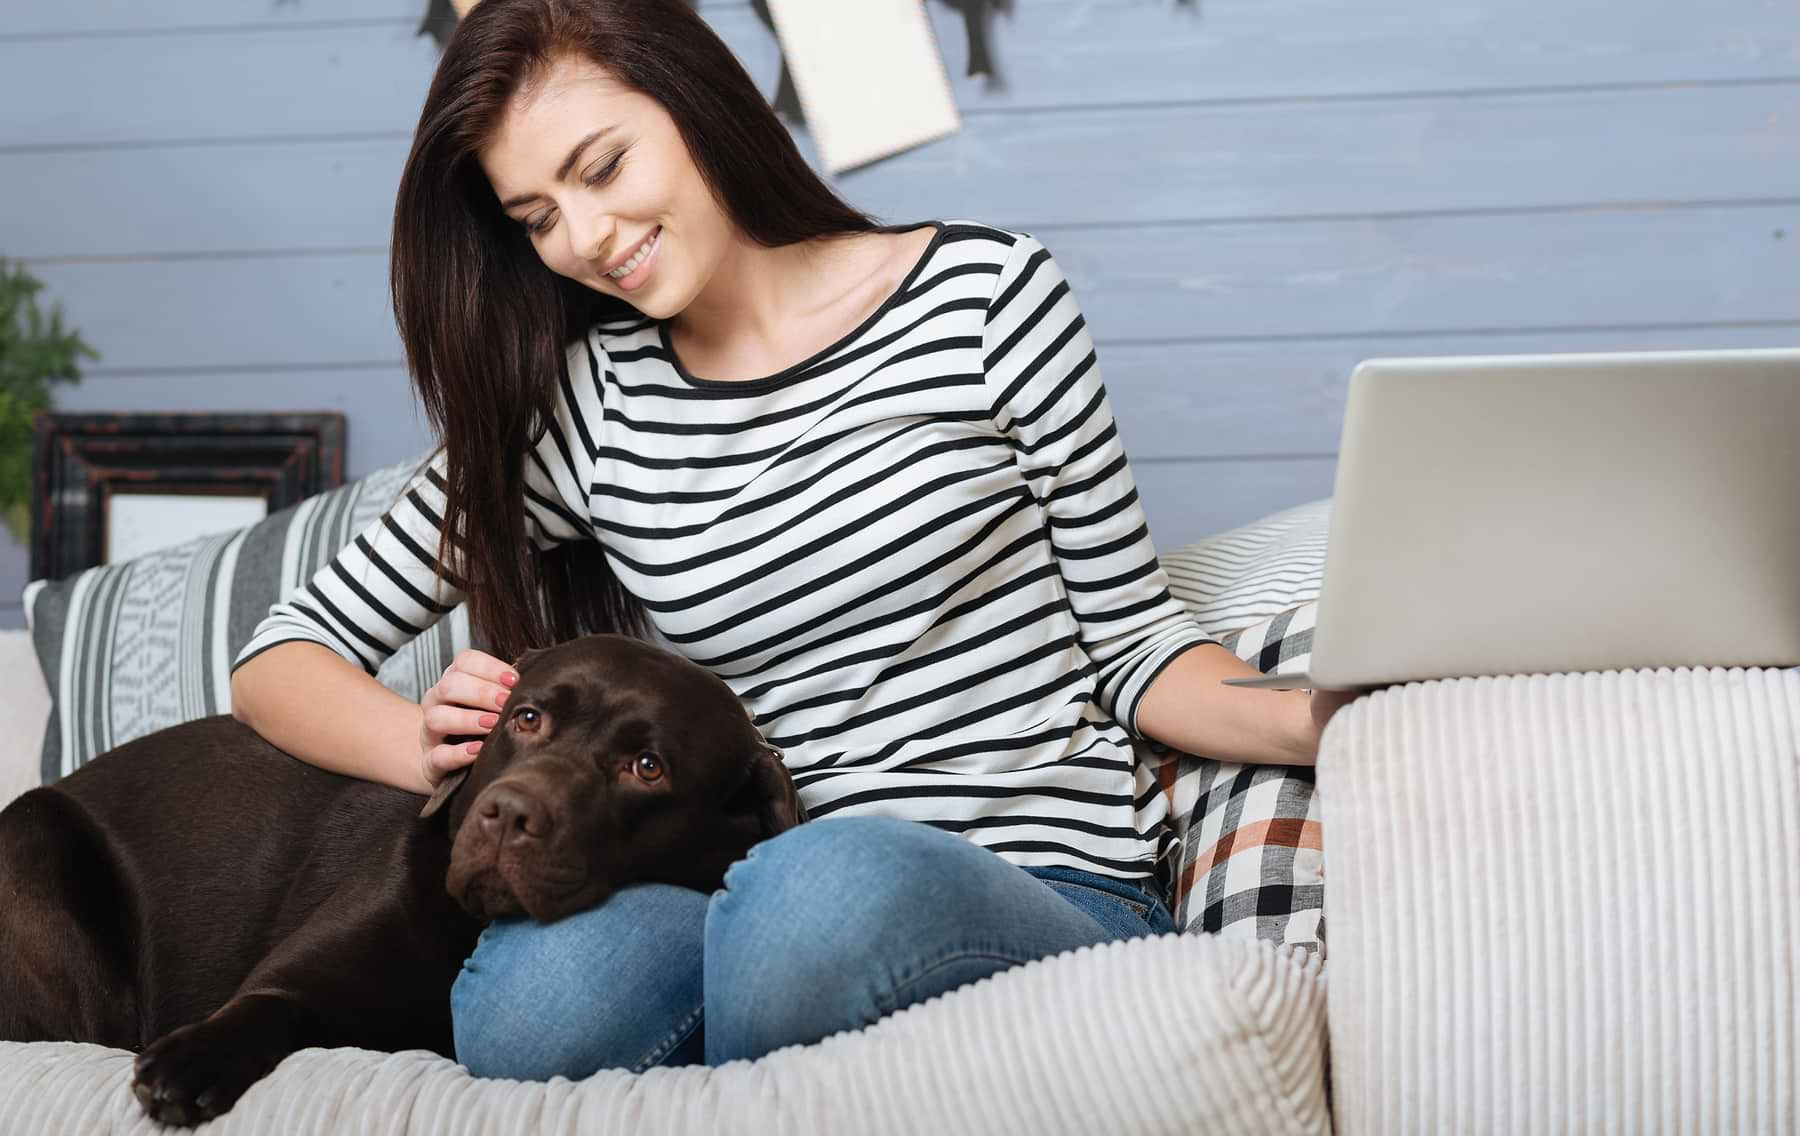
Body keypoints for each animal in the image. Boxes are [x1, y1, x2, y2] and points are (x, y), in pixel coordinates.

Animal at [0, 637, 806, 1123]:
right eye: (526, 718)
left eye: (647, 767)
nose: (508, 815)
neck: (469, 933)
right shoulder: (292, 979)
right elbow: (266, 1007)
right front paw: (193, 1059)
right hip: (38, 846)